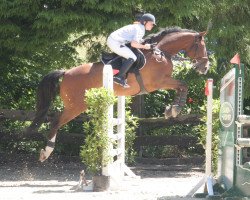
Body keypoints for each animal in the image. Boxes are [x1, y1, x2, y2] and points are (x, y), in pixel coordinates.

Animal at [26, 26, 209, 162]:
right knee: (55, 122)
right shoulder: (160, 82)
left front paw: (172, 109)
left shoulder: (163, 82)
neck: (161, 52)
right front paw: (175, 109)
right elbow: (183, 85)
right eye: (202, 46)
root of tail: (66, 72)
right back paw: (46, 152)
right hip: (75, 106)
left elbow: (182, 87)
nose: (205, 67)